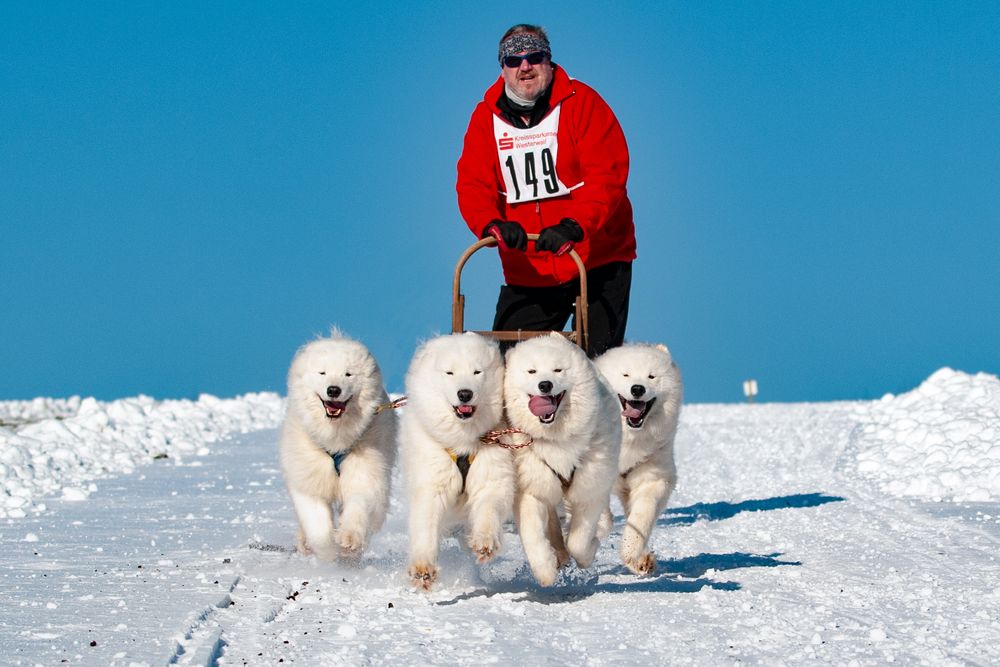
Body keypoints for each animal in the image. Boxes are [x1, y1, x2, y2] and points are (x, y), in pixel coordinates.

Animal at [278, 334, 398, 564]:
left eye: (348, 374)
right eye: (322, 372)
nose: (333, 390)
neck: (335, 437)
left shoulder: (364, 469)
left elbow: (360, 503)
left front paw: (349, 540)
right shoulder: (310, 476)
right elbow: (317, 525)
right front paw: (328, 552)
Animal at [398, 332, 512, 588]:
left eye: (477, 372)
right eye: (449, 373)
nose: (465, 393)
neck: (464, 441)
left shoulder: (491, 470)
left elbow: (489, 505)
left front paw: (484, 542)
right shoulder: (433, 479)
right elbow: (426, 523)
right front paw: (422, 570)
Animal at [504, 334, 620, 584]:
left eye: (558, 370)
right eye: (532, 371)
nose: (545, 385)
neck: (555, 439)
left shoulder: (589, 489)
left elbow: (579, 541)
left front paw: (588, 552)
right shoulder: (531, 487)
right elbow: (533, 535)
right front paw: (546, 570)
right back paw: (558, 554)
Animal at [596, 344, 684, 576]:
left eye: (651, 376)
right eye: (625, 374)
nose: (637, 389)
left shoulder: (652, 477)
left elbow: (641, 518)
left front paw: (636, 557)